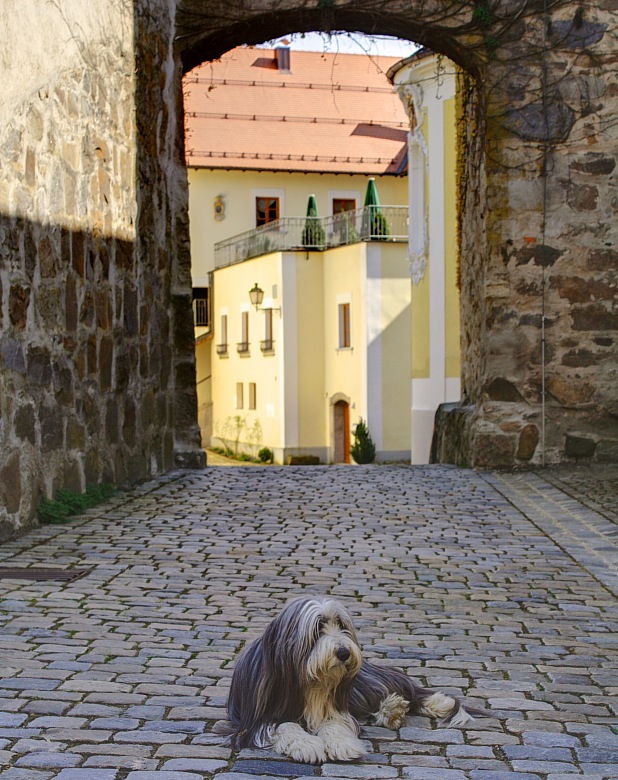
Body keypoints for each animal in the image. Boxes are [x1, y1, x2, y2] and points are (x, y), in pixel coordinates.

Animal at [221, 596, 482, 764]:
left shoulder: (337, 707)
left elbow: (336, 723)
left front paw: (342, 744)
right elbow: (284, 726)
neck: (309, 682)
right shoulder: (253, 721)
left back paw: (426, 705)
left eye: (341, 624)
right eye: (318, 628)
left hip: (365, 684)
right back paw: (393, 710)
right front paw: (307, 745)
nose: (345, 652)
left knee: (410, 689)